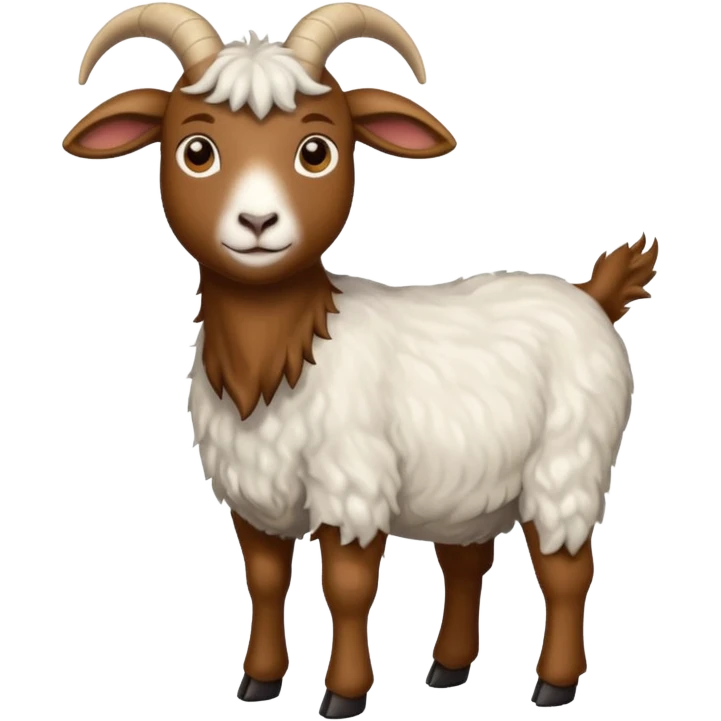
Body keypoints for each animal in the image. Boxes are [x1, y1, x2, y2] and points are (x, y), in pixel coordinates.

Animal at [63, 2, 659, 717]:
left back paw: (554, 683)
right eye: (197, 151)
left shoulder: (352, 484)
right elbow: (265, 582)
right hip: (471, 486)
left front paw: (342, 694)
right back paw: (447, 668)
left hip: (568, 461)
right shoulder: (251, 494)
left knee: (567, 568)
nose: (257, 222)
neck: (284, 358)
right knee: (467, 564)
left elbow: (347, 588)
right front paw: (258, 680)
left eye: (316, 151)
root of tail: (591, 296)